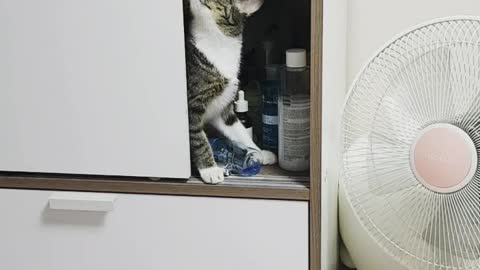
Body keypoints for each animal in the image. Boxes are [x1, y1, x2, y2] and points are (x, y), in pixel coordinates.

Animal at [185, 0, 278, 184]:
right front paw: (210, 169)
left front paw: (260, 153)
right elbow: (199, 139)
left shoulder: (222, 109)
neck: (218, 42)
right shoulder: (192, 104)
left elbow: (240, 132)